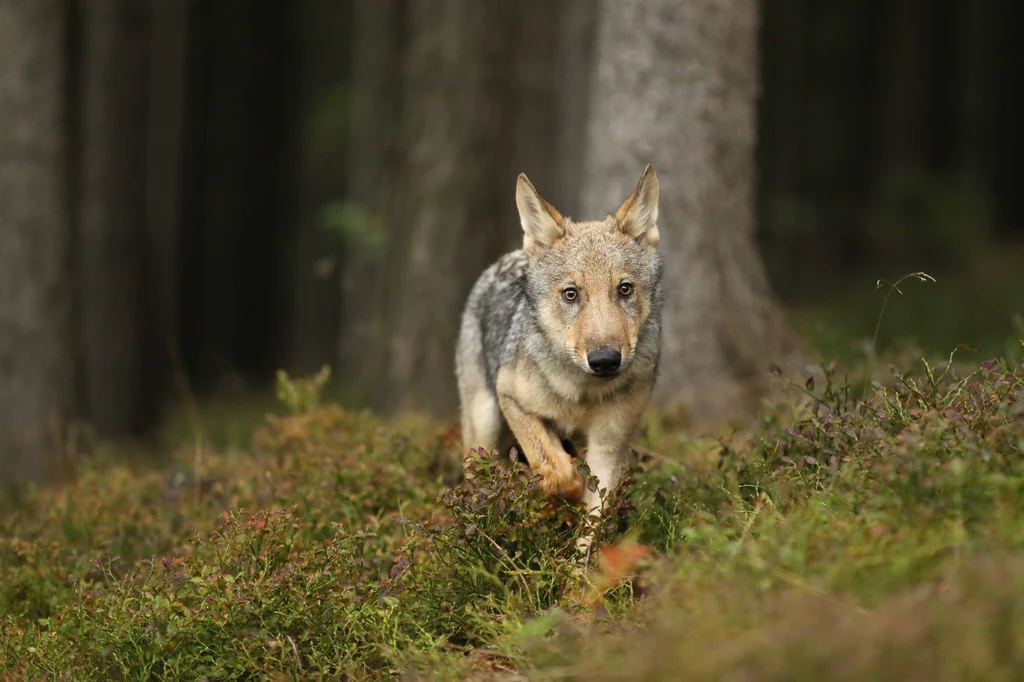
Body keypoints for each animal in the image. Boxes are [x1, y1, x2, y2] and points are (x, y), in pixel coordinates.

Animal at [454, 161, 663, 532]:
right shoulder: (511, 398)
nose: (605, 360)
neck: (582, 394)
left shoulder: (608, 445)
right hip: (484, 425)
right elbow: (555, 468)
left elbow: (592, 520)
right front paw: (562, 492)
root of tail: (506, 259)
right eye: (571, 294)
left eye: (624, 289)